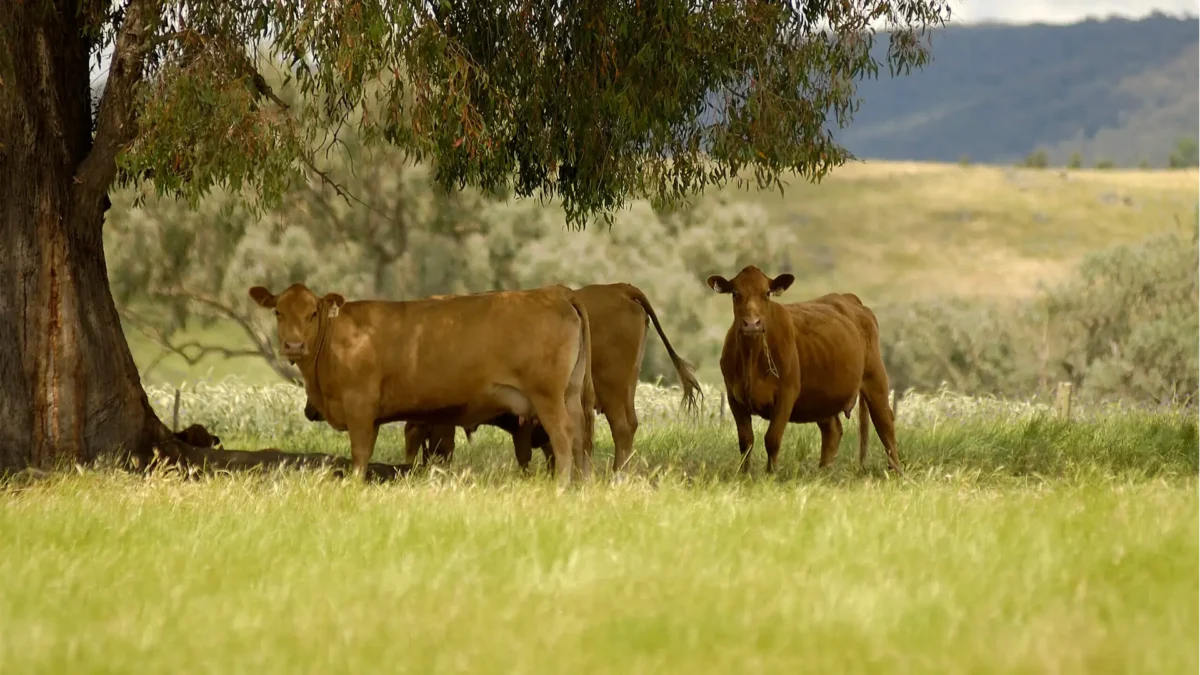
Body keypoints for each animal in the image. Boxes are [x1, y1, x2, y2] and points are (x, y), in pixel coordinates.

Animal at [249, 279, 595, 482]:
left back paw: (562, 485)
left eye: (312, 314)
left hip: (547, 396)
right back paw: (581, 484)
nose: (294, 345)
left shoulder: (360, 407)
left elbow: (360, 455)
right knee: (580, 435)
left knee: (563, 435)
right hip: (570, 393)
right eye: (278, 312)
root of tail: (555, 292)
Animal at [403, 283, 700, 473]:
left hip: (611, 391)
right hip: (623, 390)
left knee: (621, 429)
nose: (410, 466)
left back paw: (616, 478)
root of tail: (619, 288)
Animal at [700, 264, 902, 473]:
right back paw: (824, 471)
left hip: (875, 378)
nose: (751, 324)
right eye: (735, 293)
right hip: (821, 396)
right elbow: (746, 440)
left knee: (885, 422)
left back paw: (895, 470)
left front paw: (771, 474)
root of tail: (849, 298)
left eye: (767, 293)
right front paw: (744, 474)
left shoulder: (786, 393)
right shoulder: (734, 397)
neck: (752, 359)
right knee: (833, 430)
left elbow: (772, 438)